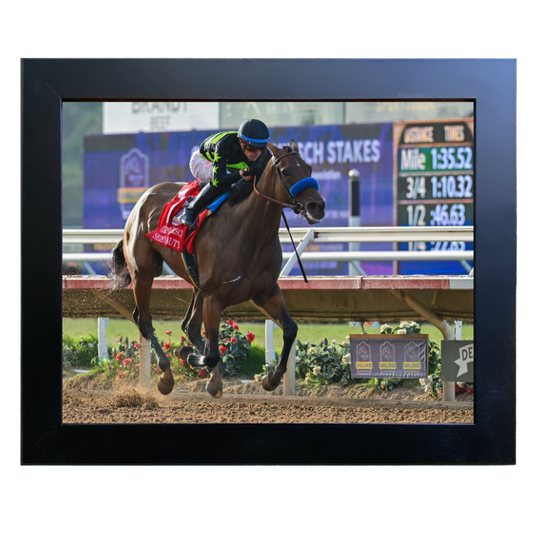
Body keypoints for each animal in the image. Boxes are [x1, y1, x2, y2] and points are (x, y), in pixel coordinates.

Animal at [109, 140, 326, 398]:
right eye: (286, 172)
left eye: (309, 168)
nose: (317, 206)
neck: (249, 232)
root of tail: (142, 200)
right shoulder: (214, 295)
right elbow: (212, 354)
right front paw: (189, 355)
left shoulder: (265, 292)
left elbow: (291, 329)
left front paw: (271, 379)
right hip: (144, 273)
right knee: (144, 320)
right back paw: (167, 376)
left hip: (196, 285)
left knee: (189, 327)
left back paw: (210, 377)